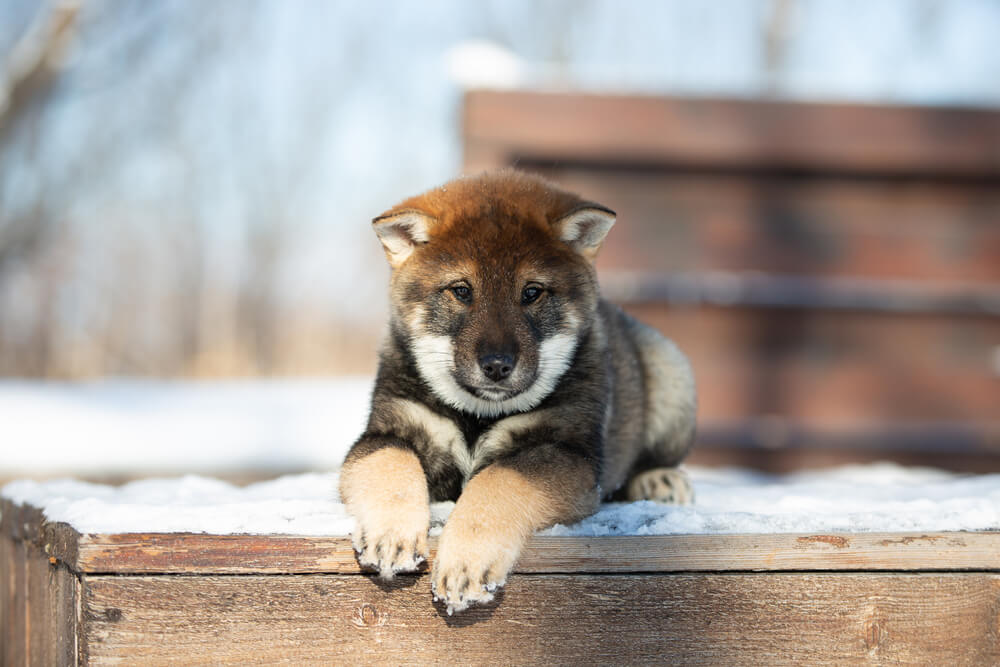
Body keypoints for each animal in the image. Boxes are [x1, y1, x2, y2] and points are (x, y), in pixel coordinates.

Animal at [338, 168, 696, 616]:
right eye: (461, 290)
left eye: (532, 292)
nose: (496, 365)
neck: (476, 416)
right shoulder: (386, 431)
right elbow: (390, 464)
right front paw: (391, 535)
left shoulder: (564, 452)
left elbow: (500, 480)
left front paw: (466, 560)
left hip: (671, 371)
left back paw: (660, 479)